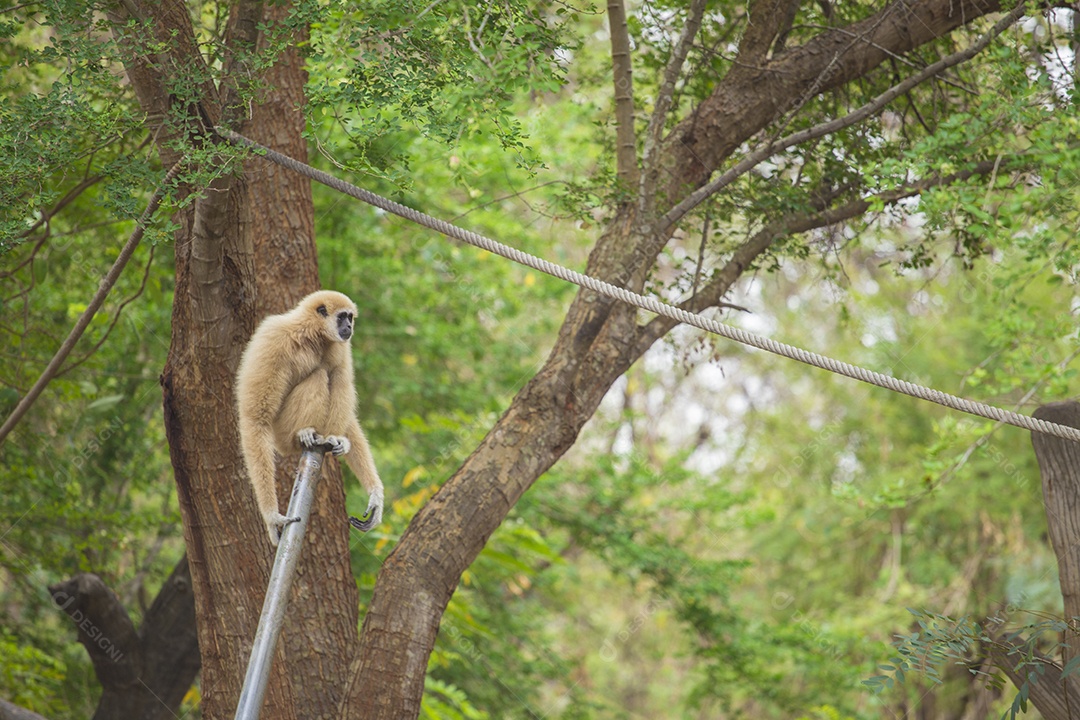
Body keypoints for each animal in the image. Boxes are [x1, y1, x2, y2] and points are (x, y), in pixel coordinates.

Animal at [235, 290, 384, 546]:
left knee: (336, 376)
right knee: (319, 375)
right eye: (343, 317)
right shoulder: (272, 339)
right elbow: (255, 418)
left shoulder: (339, 346)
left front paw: (375, 495)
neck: (312, 335)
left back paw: (334, 439)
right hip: (282, 433)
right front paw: (272, 518)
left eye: (350, 317)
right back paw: (304, 433)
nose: (349, 326)